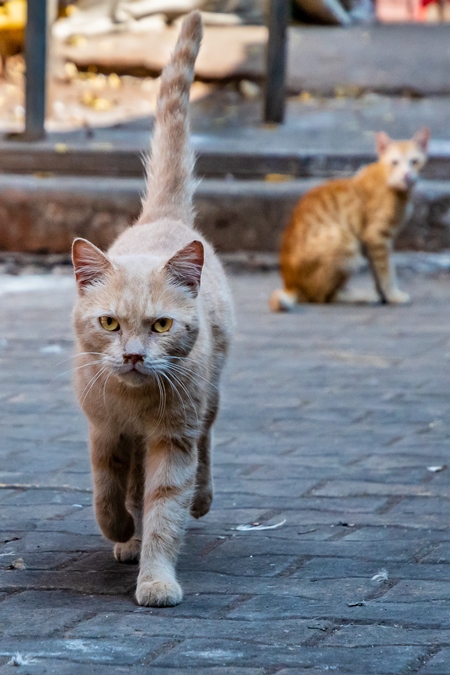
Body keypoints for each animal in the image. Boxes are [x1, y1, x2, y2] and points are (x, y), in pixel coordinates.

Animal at [72, 11, 234, 608]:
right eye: (109, 323)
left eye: (161, 325)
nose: (136, 357)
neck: (135, 407)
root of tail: (162, 217)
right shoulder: (103, 431)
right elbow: (106, 492)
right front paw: (121, 530)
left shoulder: (172, 438)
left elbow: (165, 507)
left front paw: (156, 577)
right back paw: (127, 536)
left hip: (208, 397)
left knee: (205, 446)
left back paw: (199, 500)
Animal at [268, 128, 430, 310]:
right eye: (394, 162)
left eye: (414, 162)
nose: (406, 175)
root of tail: (289, 284)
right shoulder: (377, 237)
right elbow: (386, 271)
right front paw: (393, 295)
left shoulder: (371, 244)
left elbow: (377, 272)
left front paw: (384, 296)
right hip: (345, 244)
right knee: (322, 297)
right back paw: (362, 297)